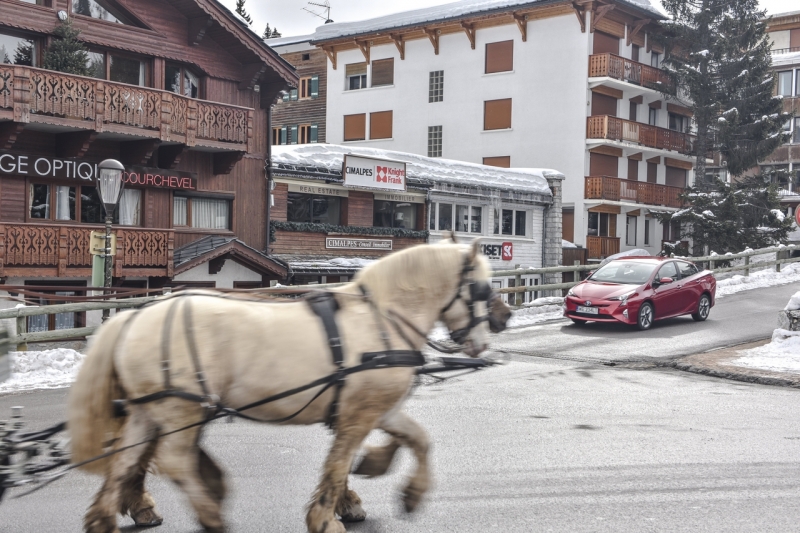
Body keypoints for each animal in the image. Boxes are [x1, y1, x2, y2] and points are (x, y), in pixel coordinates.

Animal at [67, 241, 506, 532]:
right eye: (482, 288)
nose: (496, 328)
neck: (382, 319)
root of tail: (134, 317)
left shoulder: (380, 408)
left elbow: (418, 440)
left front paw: (406, 490)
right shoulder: (359, 413)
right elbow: (339, 463)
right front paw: (328, 517)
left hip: (148, 409)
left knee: (126, 460)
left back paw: (103, 520)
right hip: (181, 408)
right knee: (173, 460)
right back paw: (211, 516)